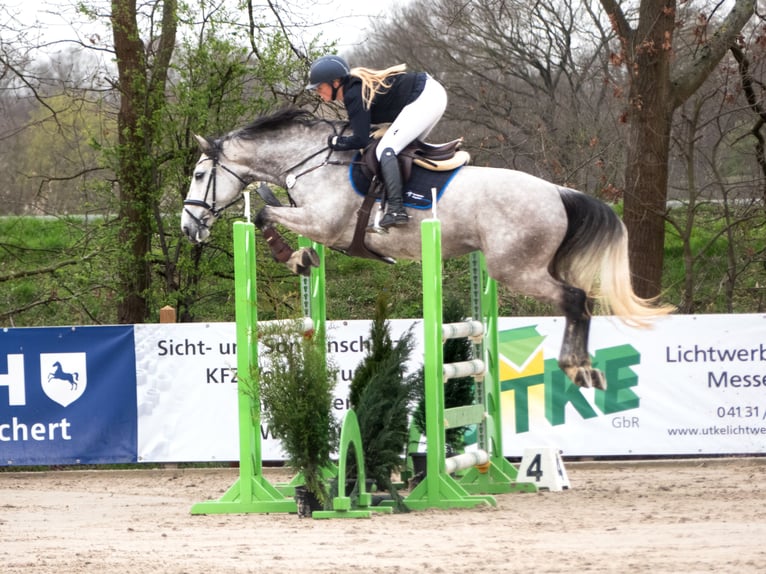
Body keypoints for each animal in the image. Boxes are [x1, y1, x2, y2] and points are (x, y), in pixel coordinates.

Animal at [180, 107, 672, 392]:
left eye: (201, 176)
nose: (187, 227)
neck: (312, 159)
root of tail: (557, 192)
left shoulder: (324, 222)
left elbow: (265, 215)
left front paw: (296, 257)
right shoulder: (315, 221)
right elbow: (271, 213)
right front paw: (303, 258)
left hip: (515, 268)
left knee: (575, 300)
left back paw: (577, 369)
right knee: (579, 302)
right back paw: (584, 368)